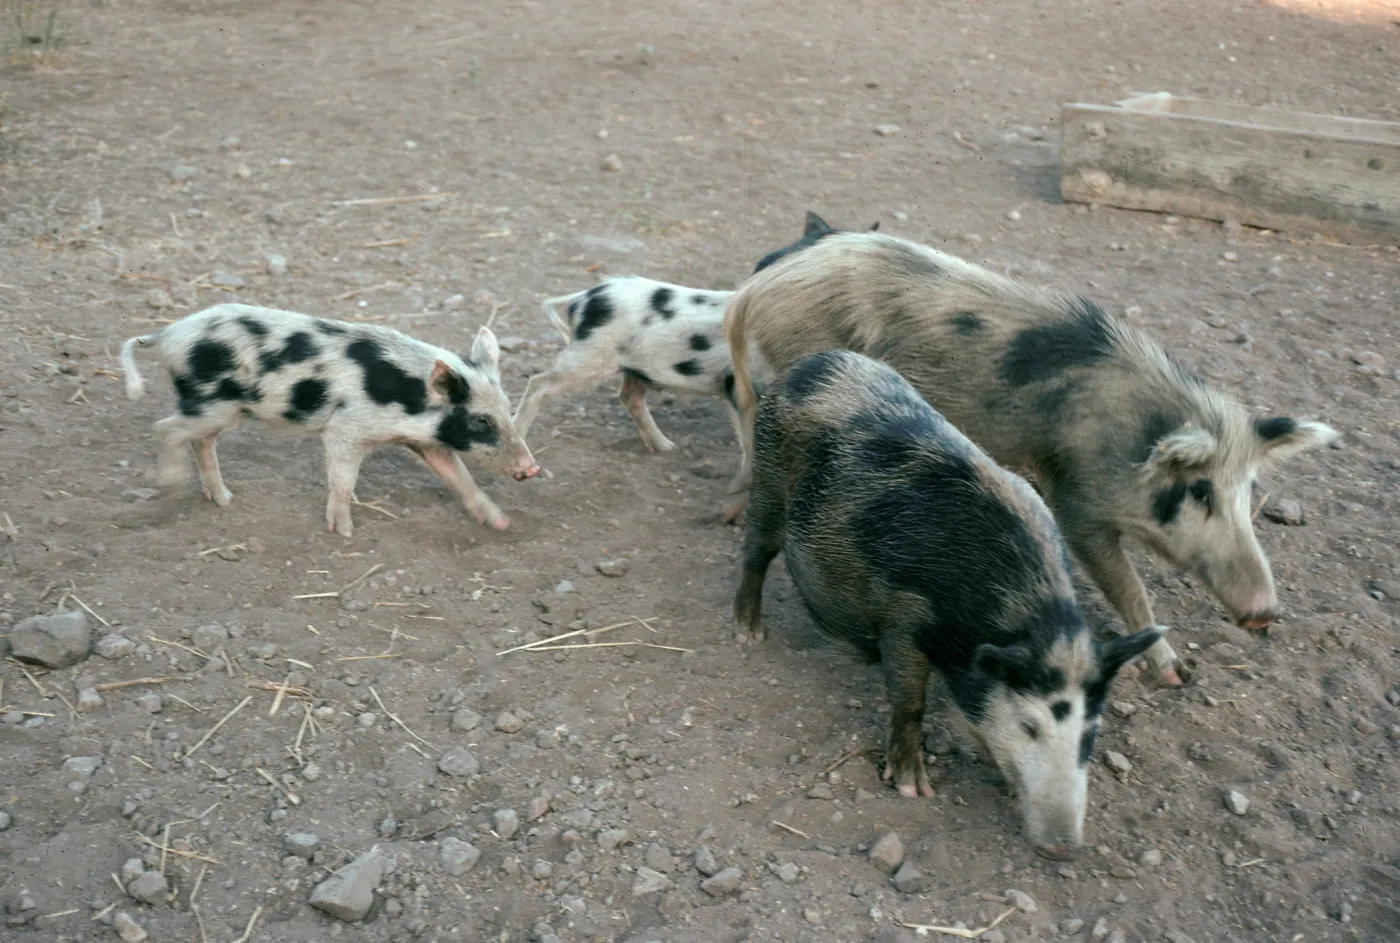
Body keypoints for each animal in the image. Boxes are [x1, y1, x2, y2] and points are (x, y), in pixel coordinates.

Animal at [120, 303, 540, 537]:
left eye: (507, 407)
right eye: (481, 421)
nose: (532, 468)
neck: (410, 400)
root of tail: (168, 334)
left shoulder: (426, 440)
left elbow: (462, 480)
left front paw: (501, 523)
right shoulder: (345, 430)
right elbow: (342, 480)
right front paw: (345, 532)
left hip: (225, 410)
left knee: (201, 440)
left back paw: (223, 499)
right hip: (213, 403)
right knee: (165, 429)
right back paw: (170, 495)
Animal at [512, 276, 774, 458]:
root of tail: (583, 298)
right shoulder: (740, 387)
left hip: (632, 367)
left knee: (629, 397)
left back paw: (667, 448)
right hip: (588, 356)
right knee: (537, 383)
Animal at [723, 231, 1337, 686]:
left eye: (1249, 491)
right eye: (1200, 491)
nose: (1265, 612)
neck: (1129, 434)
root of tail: (752, 290)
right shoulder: (1078, 497)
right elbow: (1126, 585)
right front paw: (1173, 674)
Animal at [734, 349, 1159, 858]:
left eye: (1090, 734)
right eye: (1029, 726)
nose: (1063, 847)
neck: (1021, 616)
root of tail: (812, 364)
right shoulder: (904, 617)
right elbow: (909, 700)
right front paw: (913, 788)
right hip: (768, 476)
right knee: (756, 551)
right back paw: (748, 633)